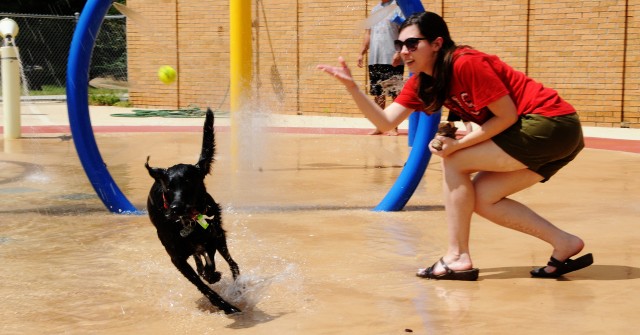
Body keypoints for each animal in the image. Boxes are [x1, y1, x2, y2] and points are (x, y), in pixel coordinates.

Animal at [144, 108, 241, 316]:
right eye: (168, 187)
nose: (176, 208)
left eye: (189, 183)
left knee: (232, 262)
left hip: (219, 235)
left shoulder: (210, 239)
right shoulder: (177, 259)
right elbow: (202, 285)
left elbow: (210, 265)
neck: (186, 222)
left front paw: (214, 277)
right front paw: (226, 306)